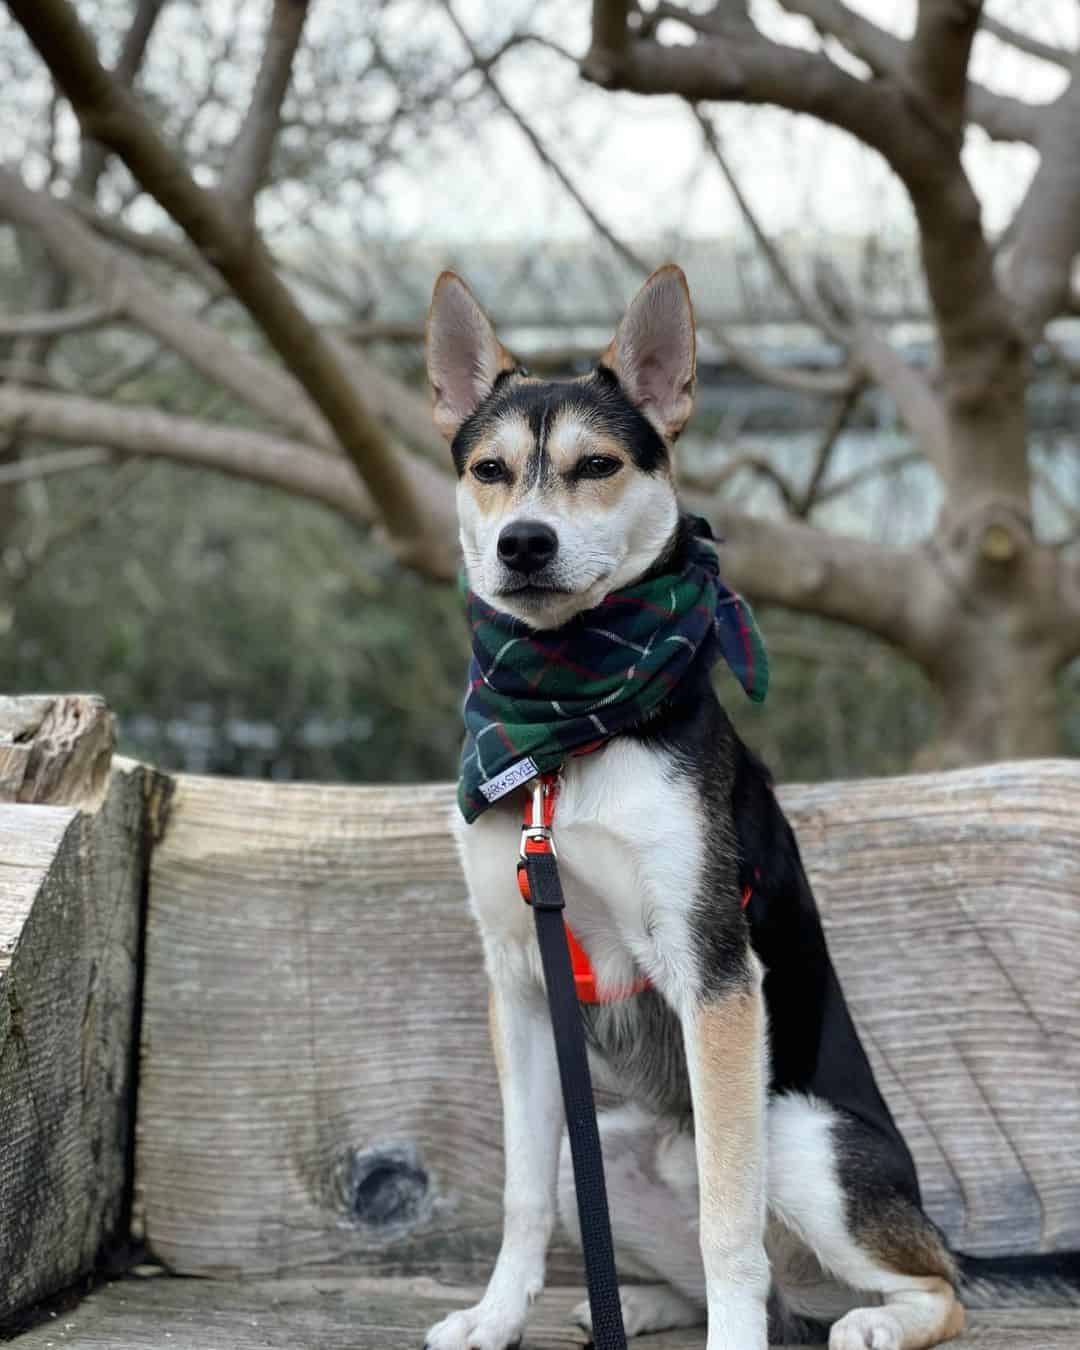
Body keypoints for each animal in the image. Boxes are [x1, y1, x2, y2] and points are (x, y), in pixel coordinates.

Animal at [418, 265, 961, 1350]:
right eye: (490, 470)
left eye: (596, 465)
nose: (523, 543)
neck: (567, 734)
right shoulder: (521, 980)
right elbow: (522, 1192)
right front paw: (496, 1317)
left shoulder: (715, 976)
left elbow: (727, 1221)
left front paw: (733, 1337)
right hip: (605, 1148)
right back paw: (634, 1304)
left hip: (800, 1135)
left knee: (937, 1282)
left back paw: (873, 1322)